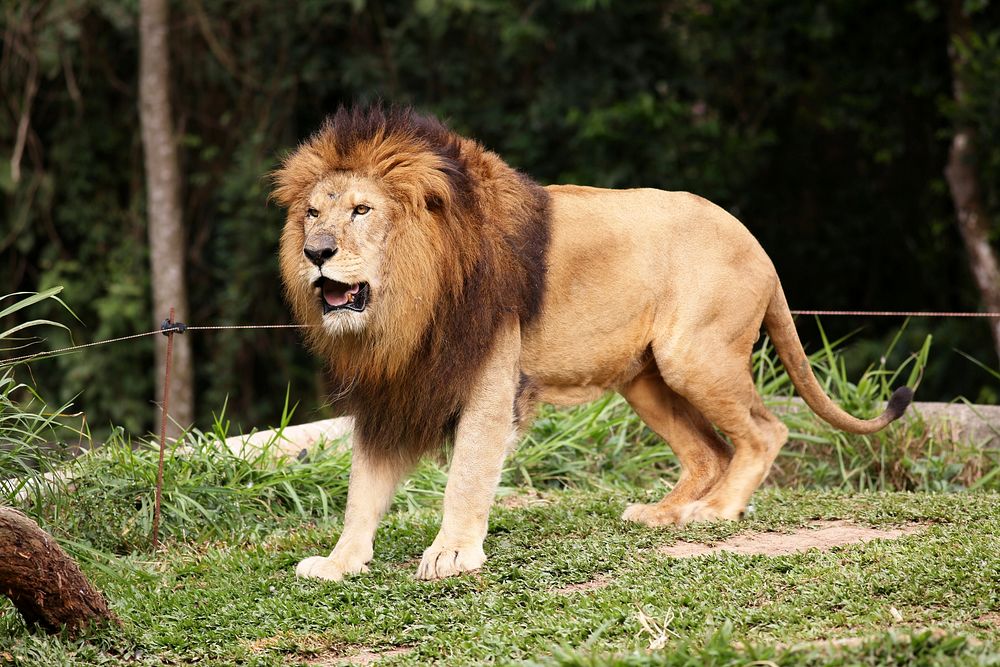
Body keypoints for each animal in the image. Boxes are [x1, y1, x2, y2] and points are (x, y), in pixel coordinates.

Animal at [274, 104, 916, 580]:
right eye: (312, 213)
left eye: (362, 210)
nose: (316, 252)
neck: (409, 302)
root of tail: (757, 245)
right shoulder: (393, 390)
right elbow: (363, 488)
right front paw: (338, 563)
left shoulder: (489, 382)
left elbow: (468, 474)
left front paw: (452, 552)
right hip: (647, 379)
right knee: (710, 450)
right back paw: (661, 514)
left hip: (694, 356)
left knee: (765, 431)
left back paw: (713, 512)